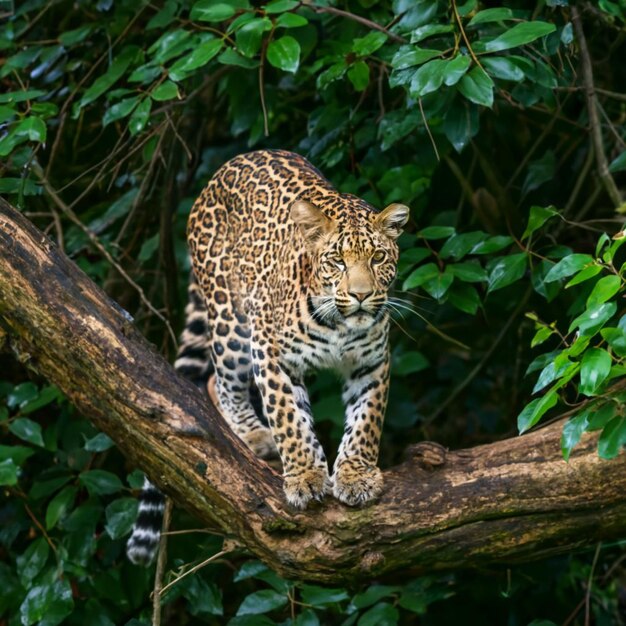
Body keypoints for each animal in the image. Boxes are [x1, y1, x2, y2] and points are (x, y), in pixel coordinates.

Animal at [127, 150, 410, 564]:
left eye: (377, 258)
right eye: (337, 261)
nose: (361, 295)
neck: (339, 324)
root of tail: (222, 171)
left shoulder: (370, 363)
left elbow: (366, 420)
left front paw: (356, 475)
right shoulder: (271, 352)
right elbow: (288, 417)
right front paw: (305, 476)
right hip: (231, 320)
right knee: (218, 381)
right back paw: (253, 434)